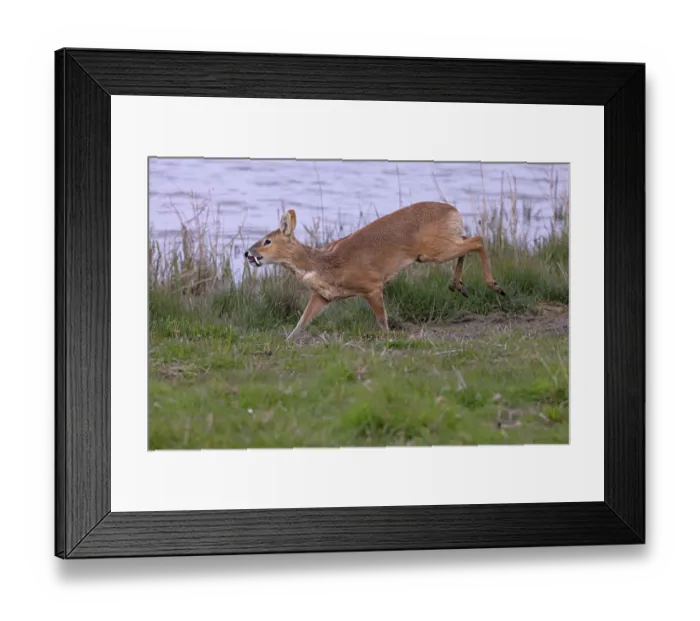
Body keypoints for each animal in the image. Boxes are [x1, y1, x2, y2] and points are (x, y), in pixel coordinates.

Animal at [244, 201, 506, 341]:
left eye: (267, 241)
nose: (247, 253)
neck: (326, 265)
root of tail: (454, 210)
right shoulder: (322, 296)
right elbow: (302, 321)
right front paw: (287, 340)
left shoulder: (372, 284)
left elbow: (382, 320)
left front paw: (389, 338)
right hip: (436, 248)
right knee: (469, 239)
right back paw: (458, 285)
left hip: (433, 250)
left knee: (478, 239)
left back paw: (495, 286)